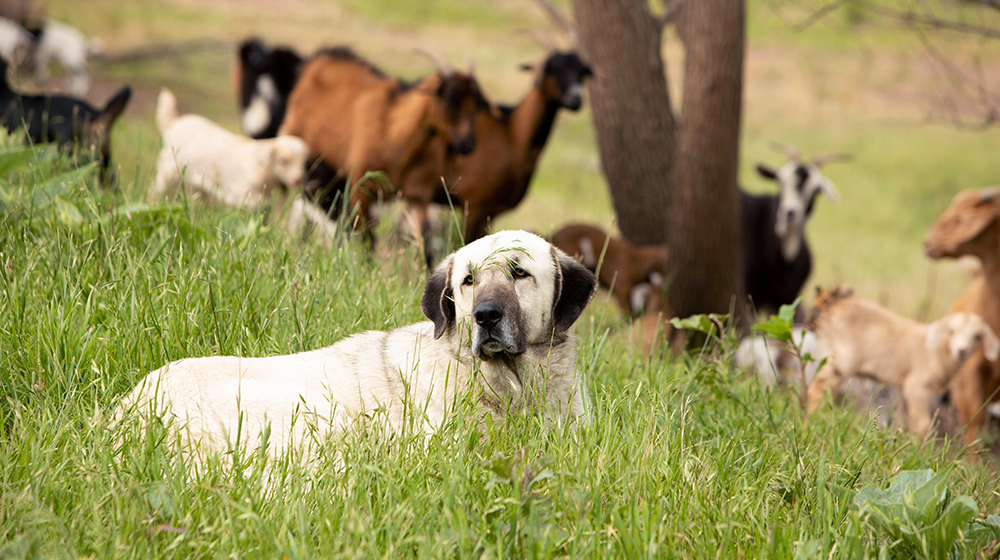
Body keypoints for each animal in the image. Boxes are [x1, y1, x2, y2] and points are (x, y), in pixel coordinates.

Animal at [150, 89, 335, 244]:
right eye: (283, 161)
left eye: (304, 163)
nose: (298, 180)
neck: (267, 177)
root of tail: (174, 123)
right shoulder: (242, 197)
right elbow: (241, 219)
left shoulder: (278, 203)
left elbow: (278, 222)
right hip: (168, 169)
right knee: (158, 188)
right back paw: (153, 202)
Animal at [279, 47, 489, 249]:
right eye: (448, 101)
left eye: (476, 107)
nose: (468, 144)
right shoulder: (362, 188)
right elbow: (367, 237)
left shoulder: (419, 195)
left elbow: (422, 242)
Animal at [438, 47, 592, 242]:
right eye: (553, 68)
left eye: (581, 72)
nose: (575, 98)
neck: (511, 134)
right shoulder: (474, 204)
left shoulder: (491, 211)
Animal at [806, 285, 1000, 439]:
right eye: (951, 331)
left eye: (978, 336)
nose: (962, 351)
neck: (938, 354)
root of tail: (832, 304)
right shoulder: (917, 387)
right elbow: (923, 425)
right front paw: (920, 451)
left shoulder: (905, 389)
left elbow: (905, 421)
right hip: (841, 360)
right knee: (819, 387)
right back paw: (815, 418)